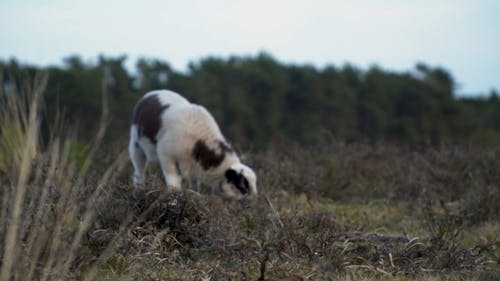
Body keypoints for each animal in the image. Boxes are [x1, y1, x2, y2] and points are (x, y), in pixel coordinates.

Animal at [129, 89, 258, 197]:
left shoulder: (194, 164)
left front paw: (194, 195)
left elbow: (195, 183)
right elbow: (173, 182)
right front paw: (174, 199)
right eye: (242, 185)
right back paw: (140, 189)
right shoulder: (167, 157)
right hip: (136, 144)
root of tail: (153, 92)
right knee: (139, 171)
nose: (254, 200)